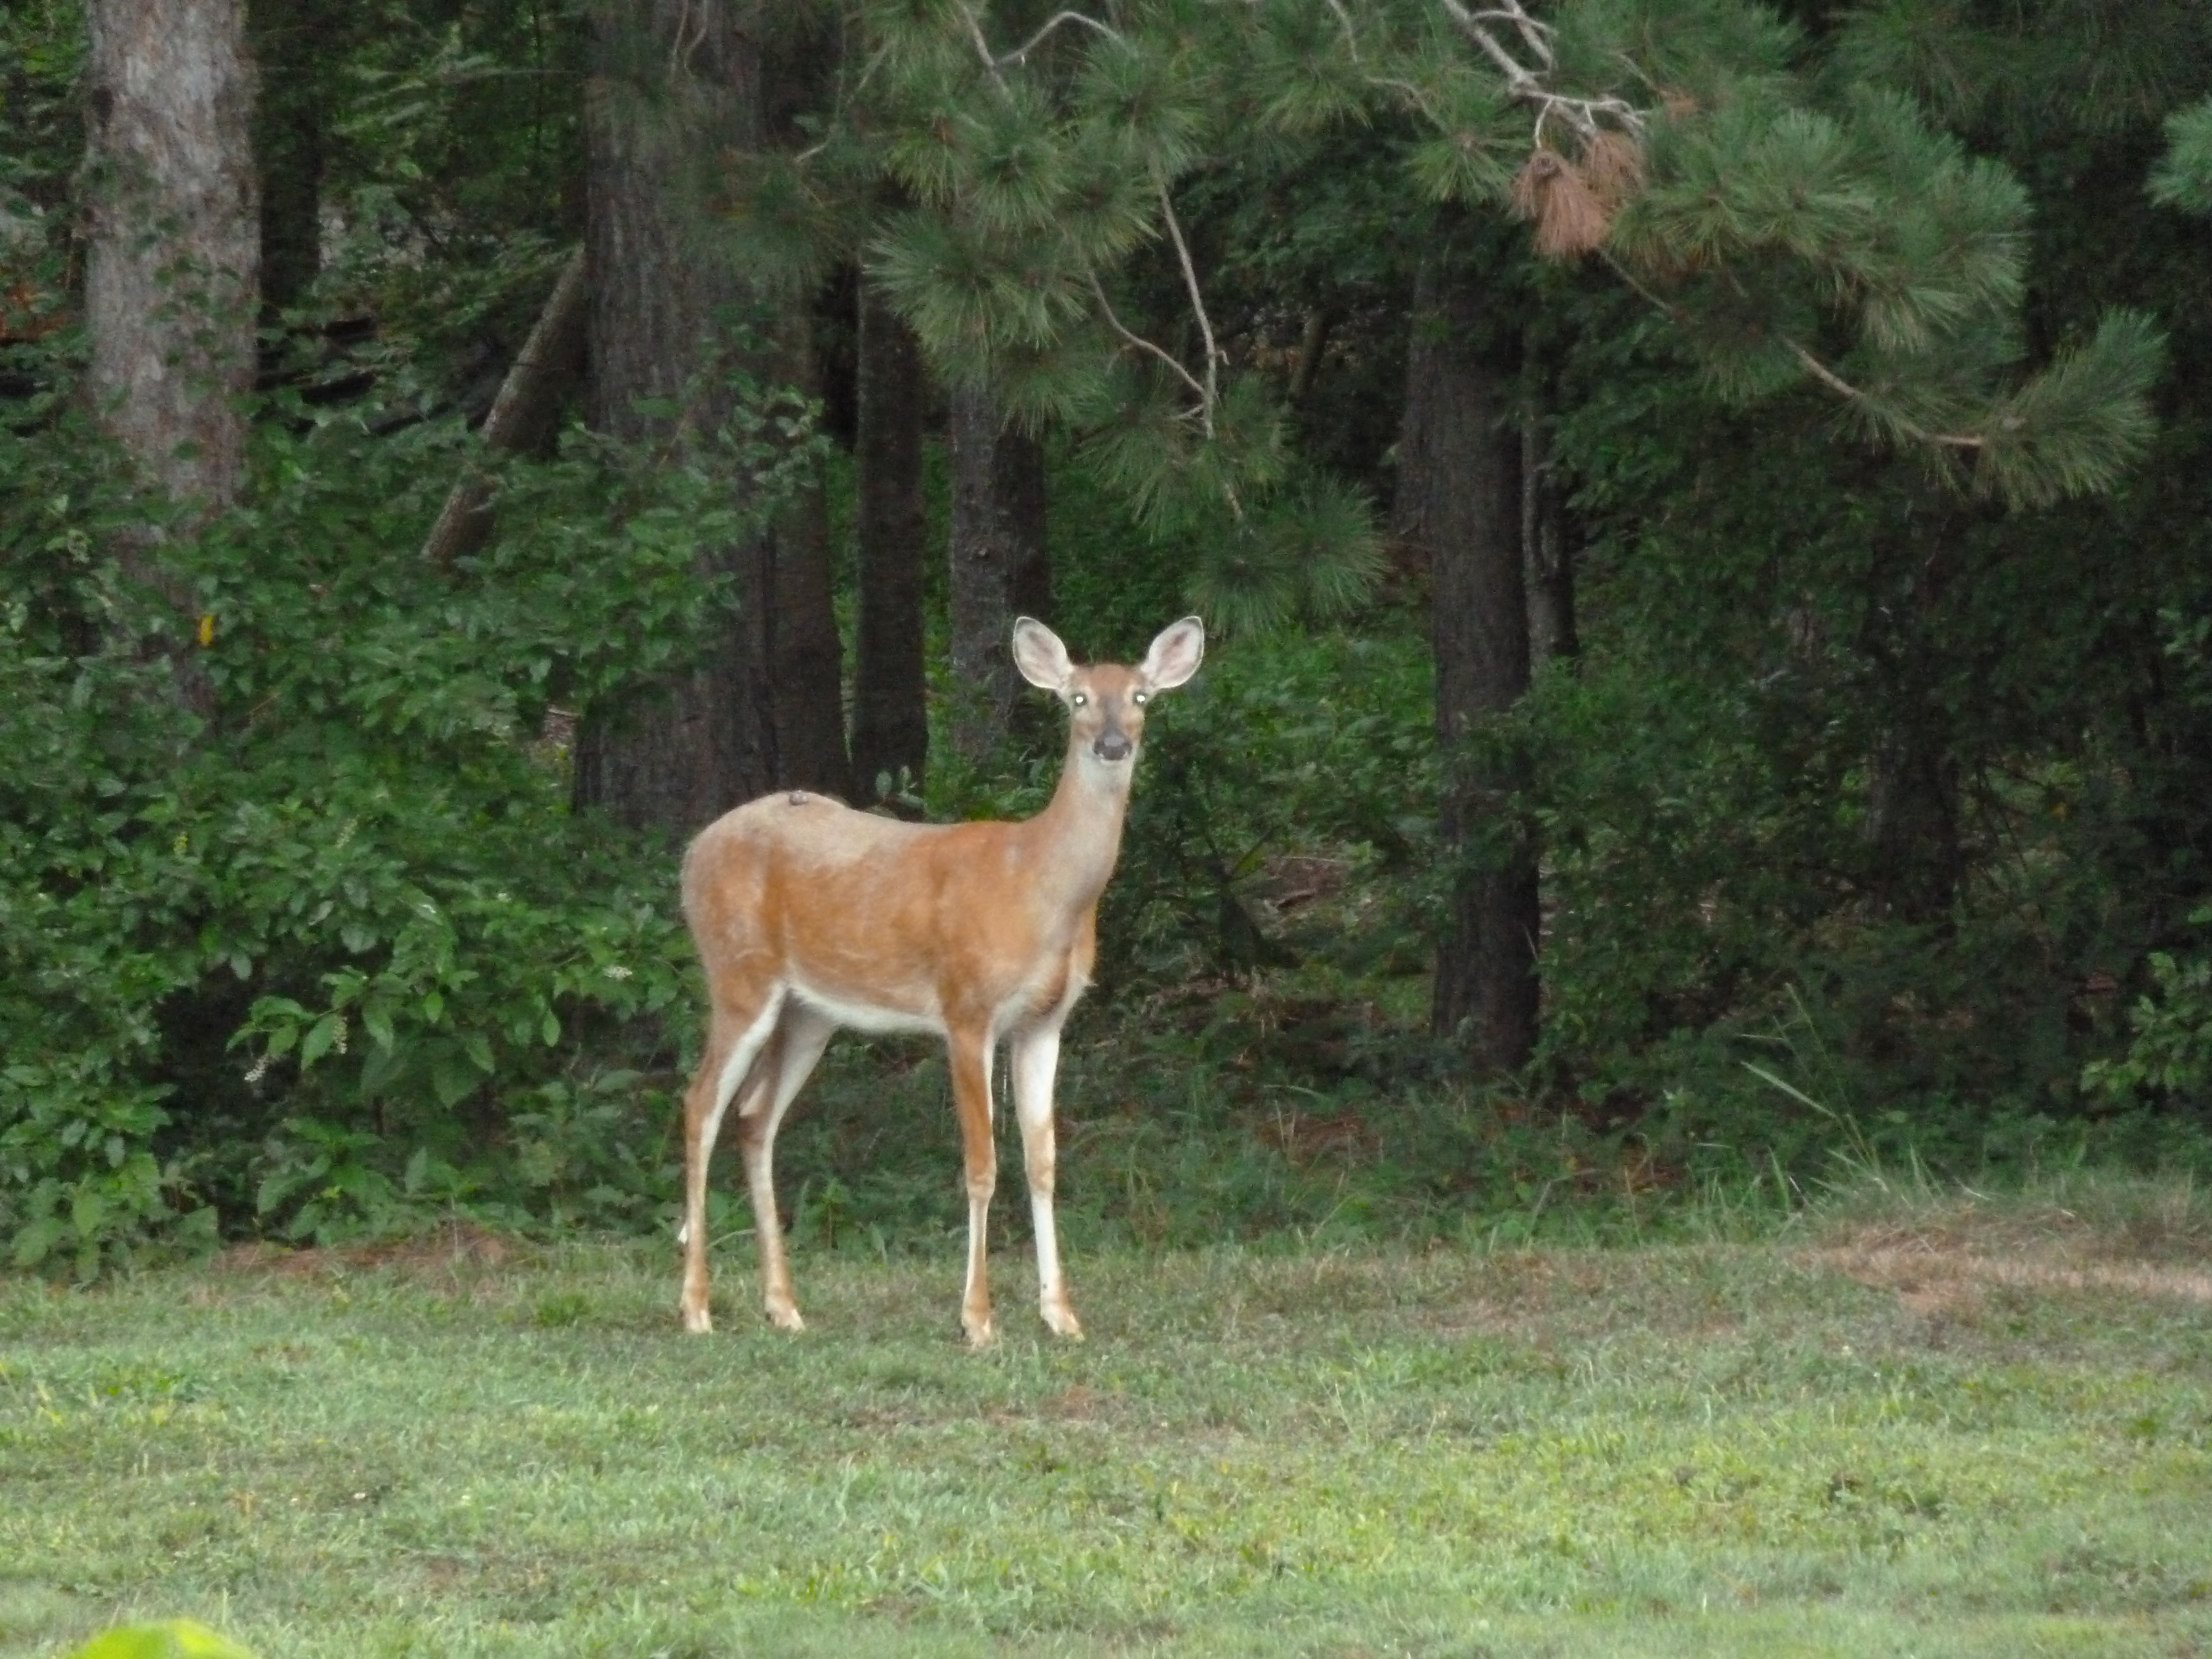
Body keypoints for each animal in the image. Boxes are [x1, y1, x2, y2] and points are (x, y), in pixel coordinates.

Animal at [677, 619, 1212, 1345]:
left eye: (1141, 696)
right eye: (1075, 698)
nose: (1112, 744)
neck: (1039, 885)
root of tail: (690, 854)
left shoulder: (1046, 1022)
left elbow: (1043, 1164)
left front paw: (1061, 1314)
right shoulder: (966, 1008)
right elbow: (981, 1164)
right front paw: (977, 1319)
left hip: (810, 1011)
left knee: (755, 1115)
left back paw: (784, 1307)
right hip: (737, 974)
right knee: (700, 1104)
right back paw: (696, 1308)